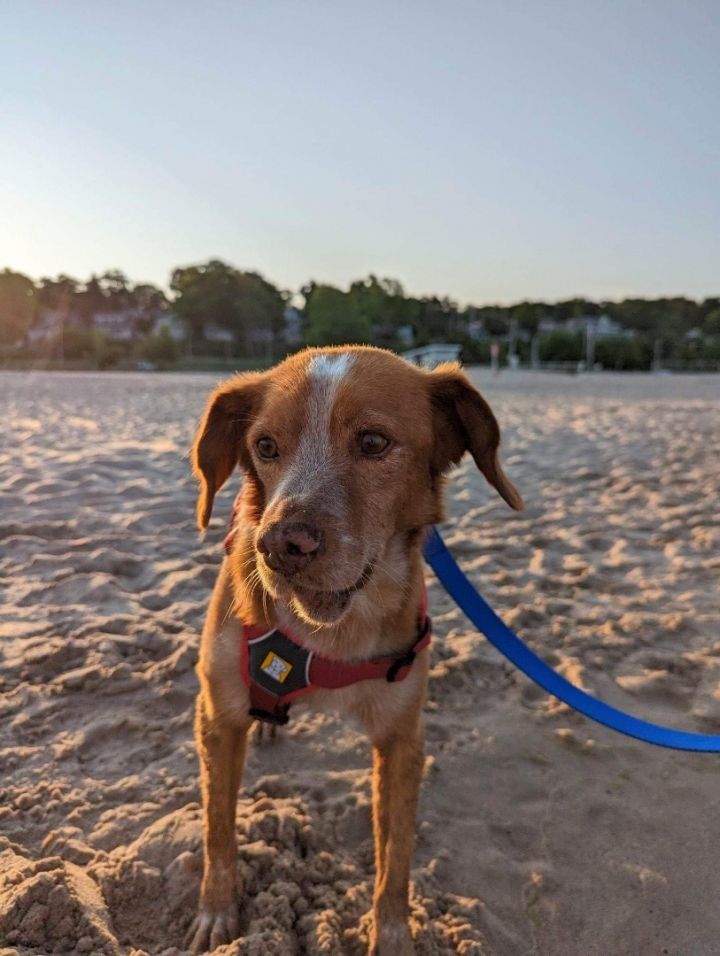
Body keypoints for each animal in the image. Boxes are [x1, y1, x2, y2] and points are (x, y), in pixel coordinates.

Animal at [188, 348, 520, 952]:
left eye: (372, 442)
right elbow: (218, 829)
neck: (330, 638)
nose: (279, 546)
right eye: (264, 446)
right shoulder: (217, 719)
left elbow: (396, 859)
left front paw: (391, 937)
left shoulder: (400, 741)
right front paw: (216, 911)